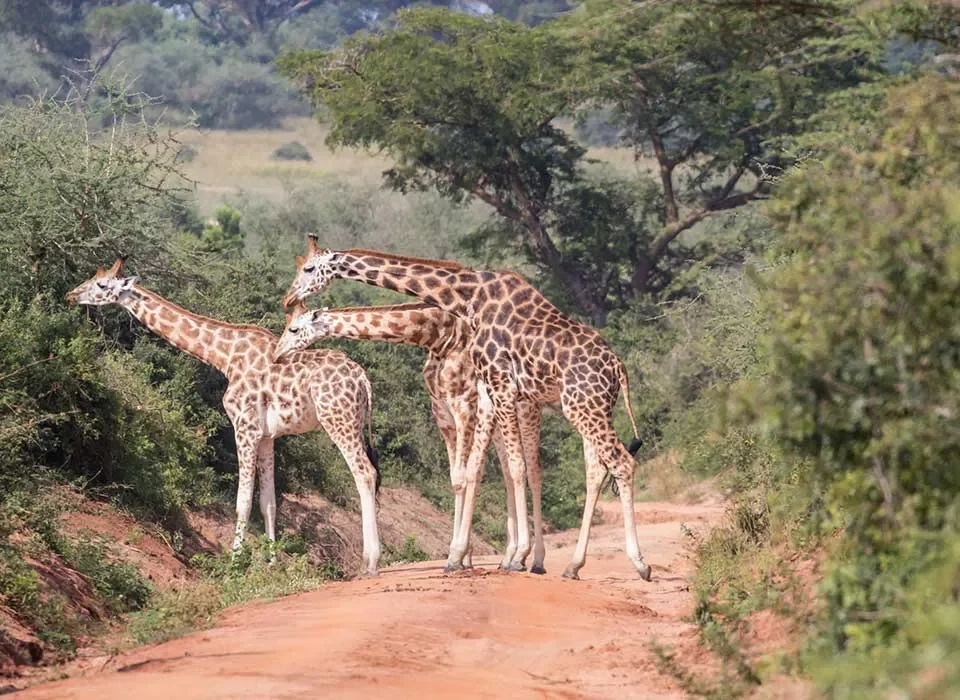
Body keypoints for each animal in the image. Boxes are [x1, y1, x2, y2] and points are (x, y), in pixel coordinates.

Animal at [66, 260, 383, 576]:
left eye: (102, 284)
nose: (71, 294)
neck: (225, 356)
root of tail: (363, 380)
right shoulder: (266, 436)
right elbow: (268, 503)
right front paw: (272, 564)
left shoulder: (244, 427)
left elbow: (242, 502)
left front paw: (235, 563)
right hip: (351, 421)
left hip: (338, 419)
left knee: (364, 473)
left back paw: (370, 562)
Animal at [273, 302, 549, 573]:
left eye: (294, 329)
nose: (277, 355)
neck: (441, 337)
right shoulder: (444, 413)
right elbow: (458, 478)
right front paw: (463, 558)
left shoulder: (468, 407)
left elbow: (468, 475)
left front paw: (457, 555)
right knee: (510, 472)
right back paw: (510, 557)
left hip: (522, 410)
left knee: (530, 470)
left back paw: (531, 559)